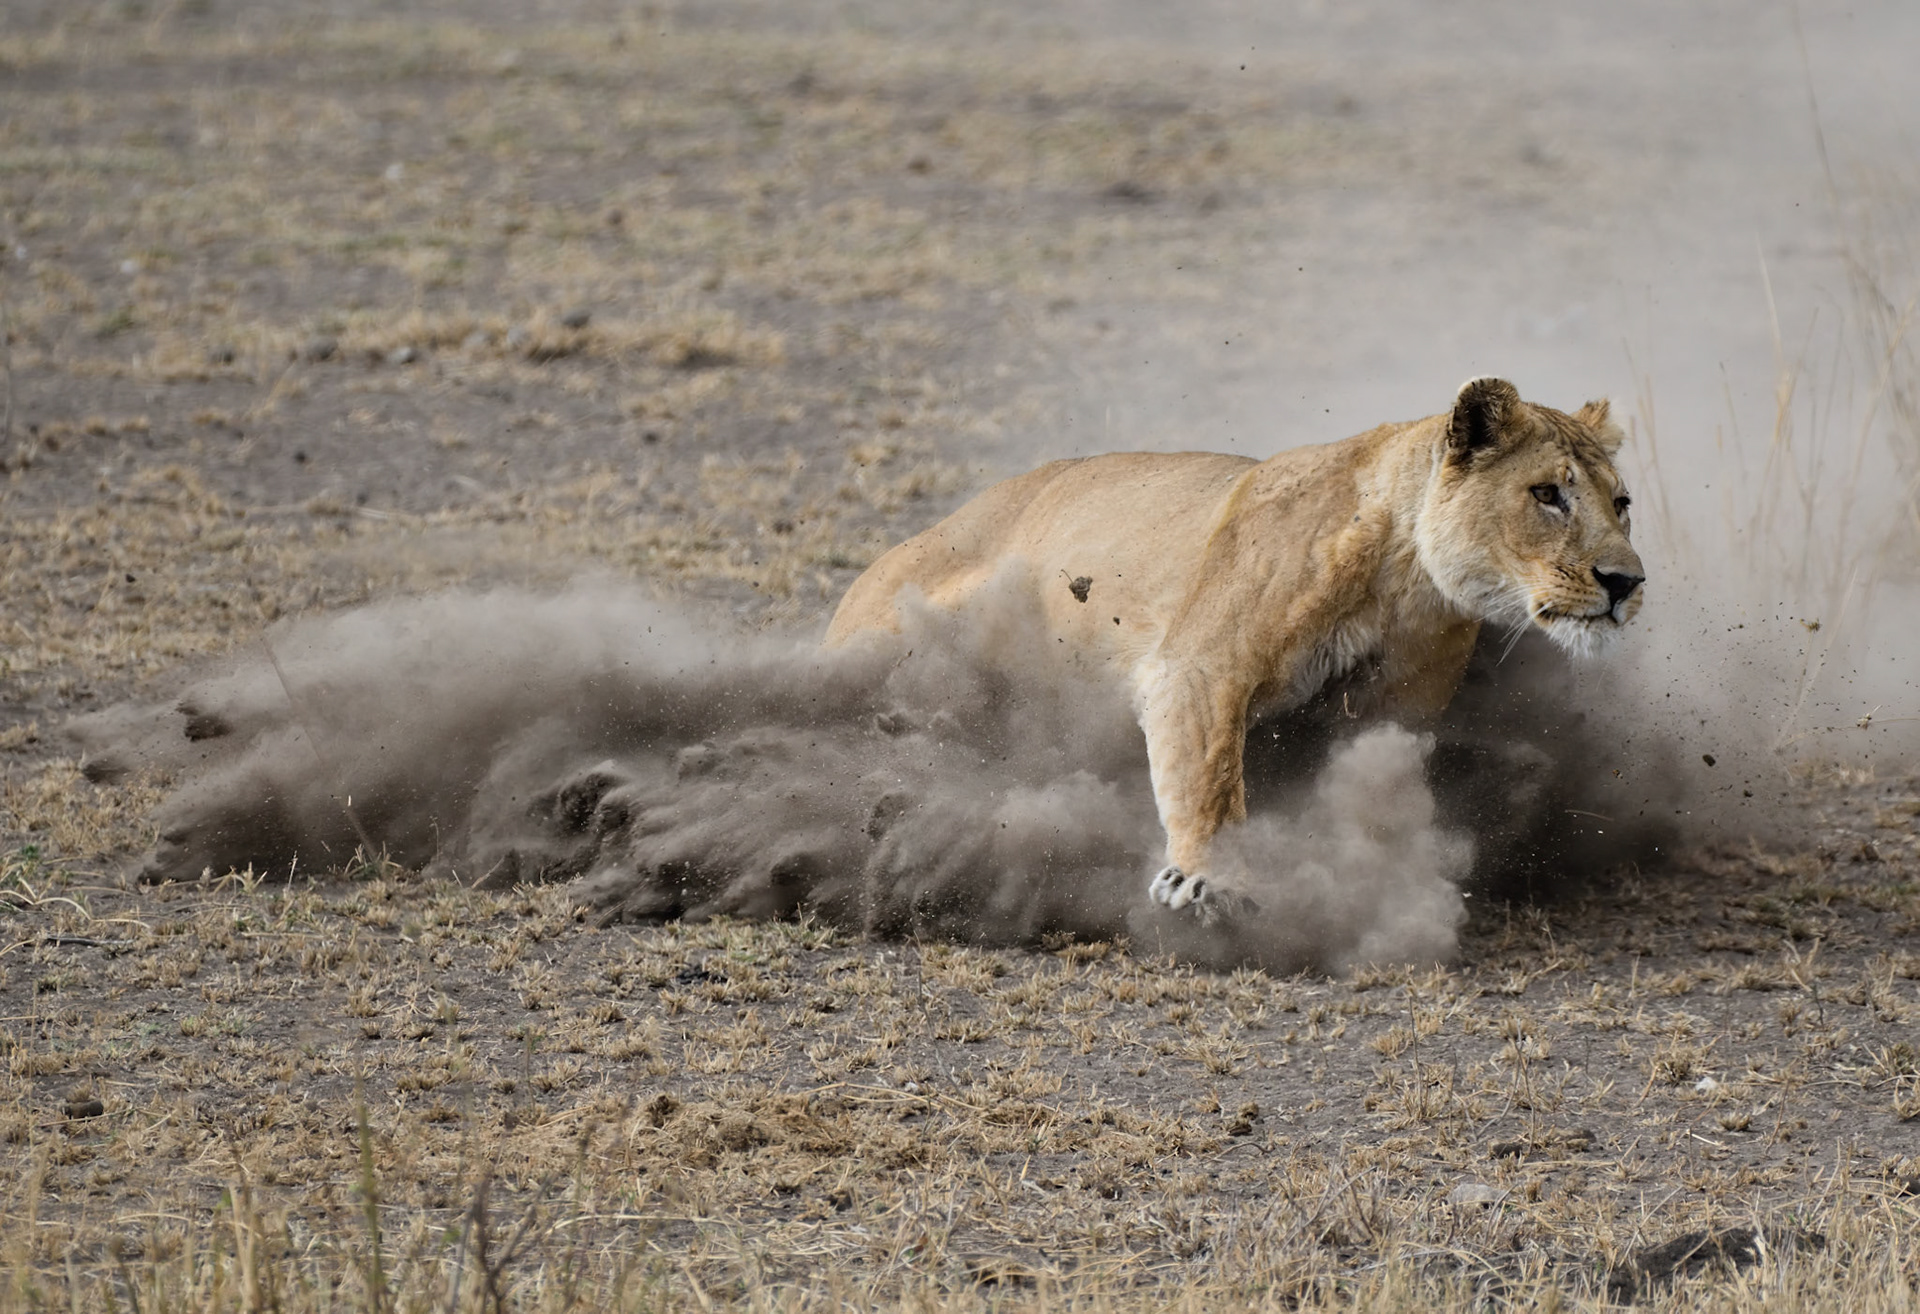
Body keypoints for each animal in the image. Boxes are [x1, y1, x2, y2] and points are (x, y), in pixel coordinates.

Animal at [825, 377, 1645, 918]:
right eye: (1548, 494)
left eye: (1622, 503)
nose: (1627, 581)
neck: (1405, 577)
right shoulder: (1199, 667)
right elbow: (1212, 778)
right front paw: (1210, 880)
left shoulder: (1394, 711)